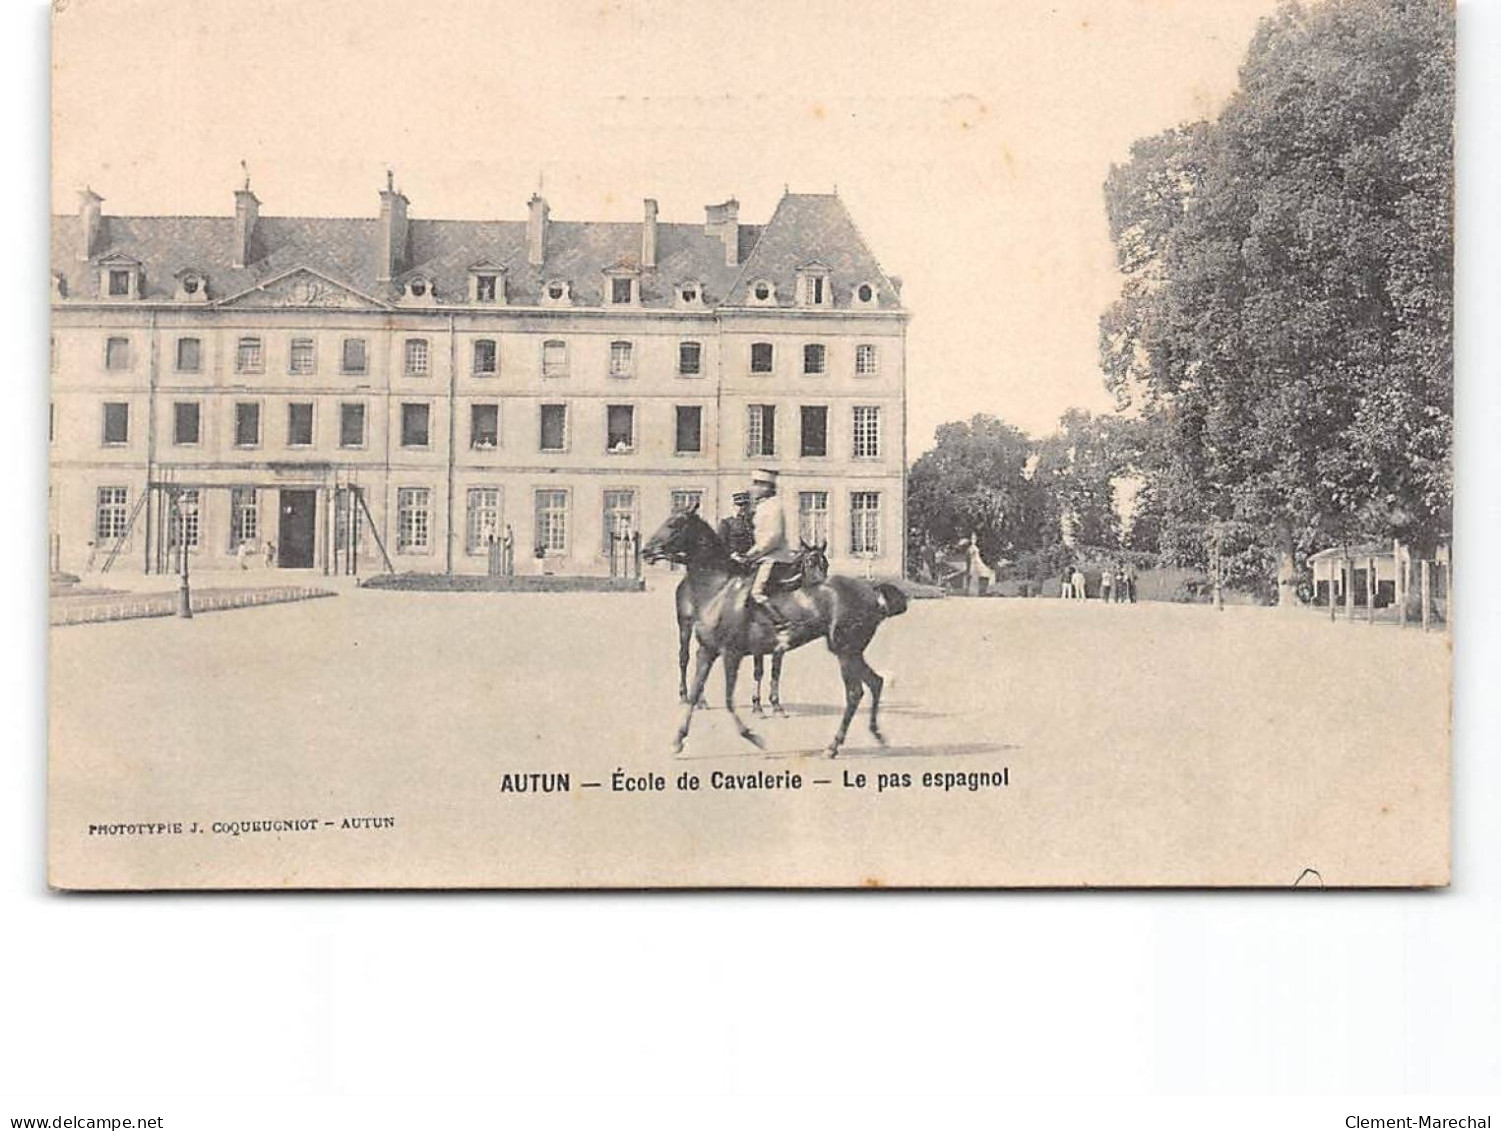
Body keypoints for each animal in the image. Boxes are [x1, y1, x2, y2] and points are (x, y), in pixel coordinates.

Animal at [672, 537, 828, 714]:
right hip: (685, 625)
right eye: (809, 562)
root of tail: (686, 581)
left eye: (826, 564)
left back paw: (700, 700)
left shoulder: (779, 642)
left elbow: (776, 671)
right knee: (684, 657)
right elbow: (758, 671)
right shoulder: (757, 643)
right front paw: (757, 705)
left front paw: (776, 704)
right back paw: (685, 695)